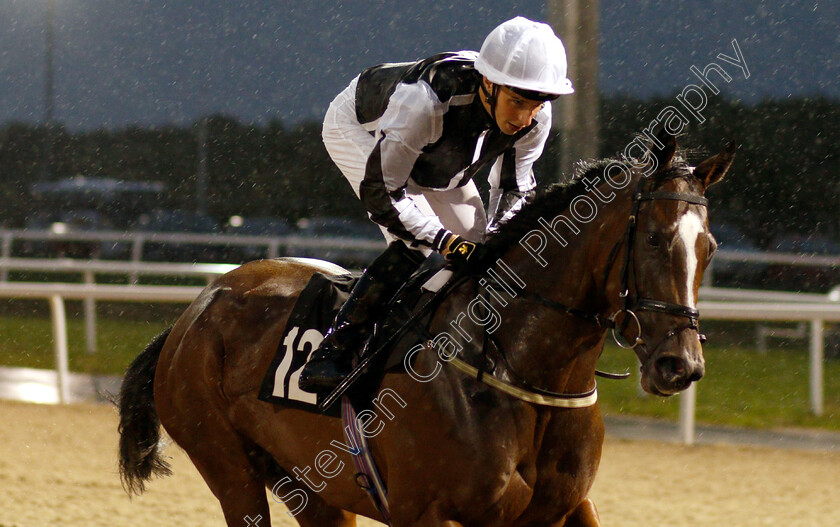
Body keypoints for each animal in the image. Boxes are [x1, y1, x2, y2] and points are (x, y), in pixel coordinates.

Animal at [118, 136, 736, 527]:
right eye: (653, 239)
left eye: (709, 247)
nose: (681, 365)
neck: (519, 368)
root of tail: (192, 312)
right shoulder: (427, 512)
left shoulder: (567, 508)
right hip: (228, 465)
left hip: (312, 488)